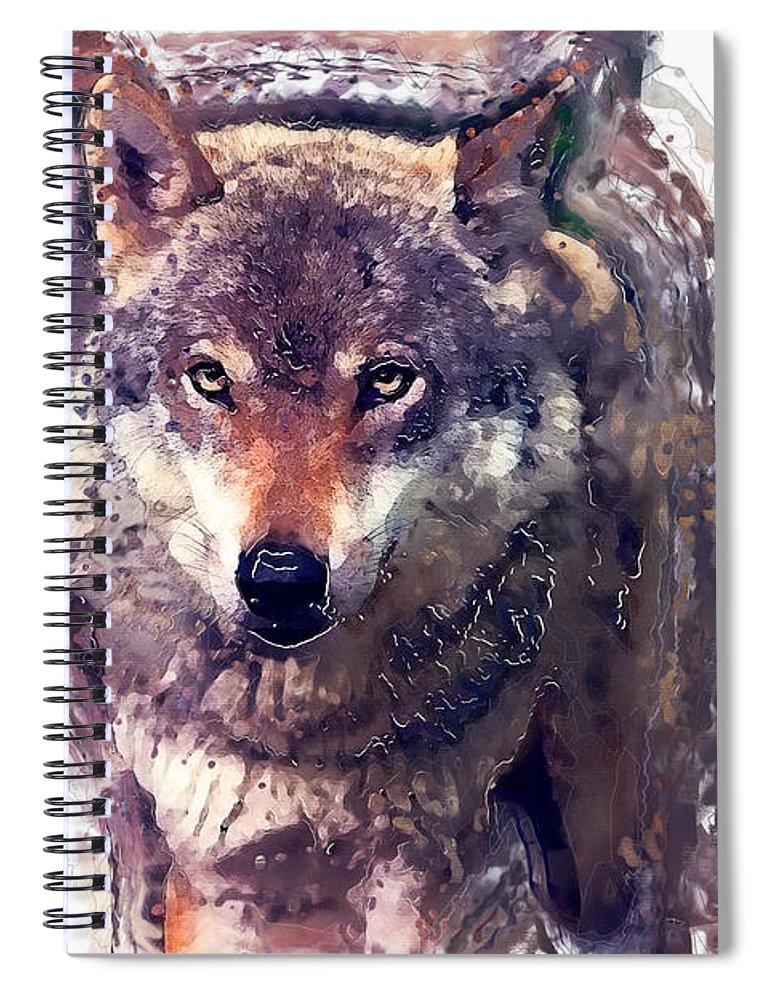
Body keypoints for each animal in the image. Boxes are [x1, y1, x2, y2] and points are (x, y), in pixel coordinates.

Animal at [67, 47, 715, 953]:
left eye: (386, 380)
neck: (306, 735)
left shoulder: (420, 863)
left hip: (598, 820)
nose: (279, 578)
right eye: (209, 378)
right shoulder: (215, 868)